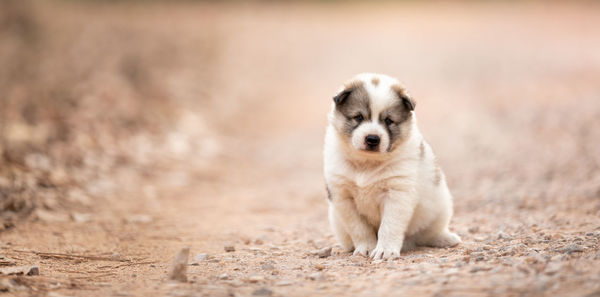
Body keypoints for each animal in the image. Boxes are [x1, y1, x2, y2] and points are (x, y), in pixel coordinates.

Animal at [324, 72, 460, 260]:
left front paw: (385, 251)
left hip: (441, 206)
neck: (367, 163)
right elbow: (359, 228)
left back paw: (446, 238)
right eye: (358, 117)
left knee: (429, 232)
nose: (372, 139)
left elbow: (389, 226)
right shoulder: (343, 197)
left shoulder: (397, 194)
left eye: (388, 120)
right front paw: (366, 248)